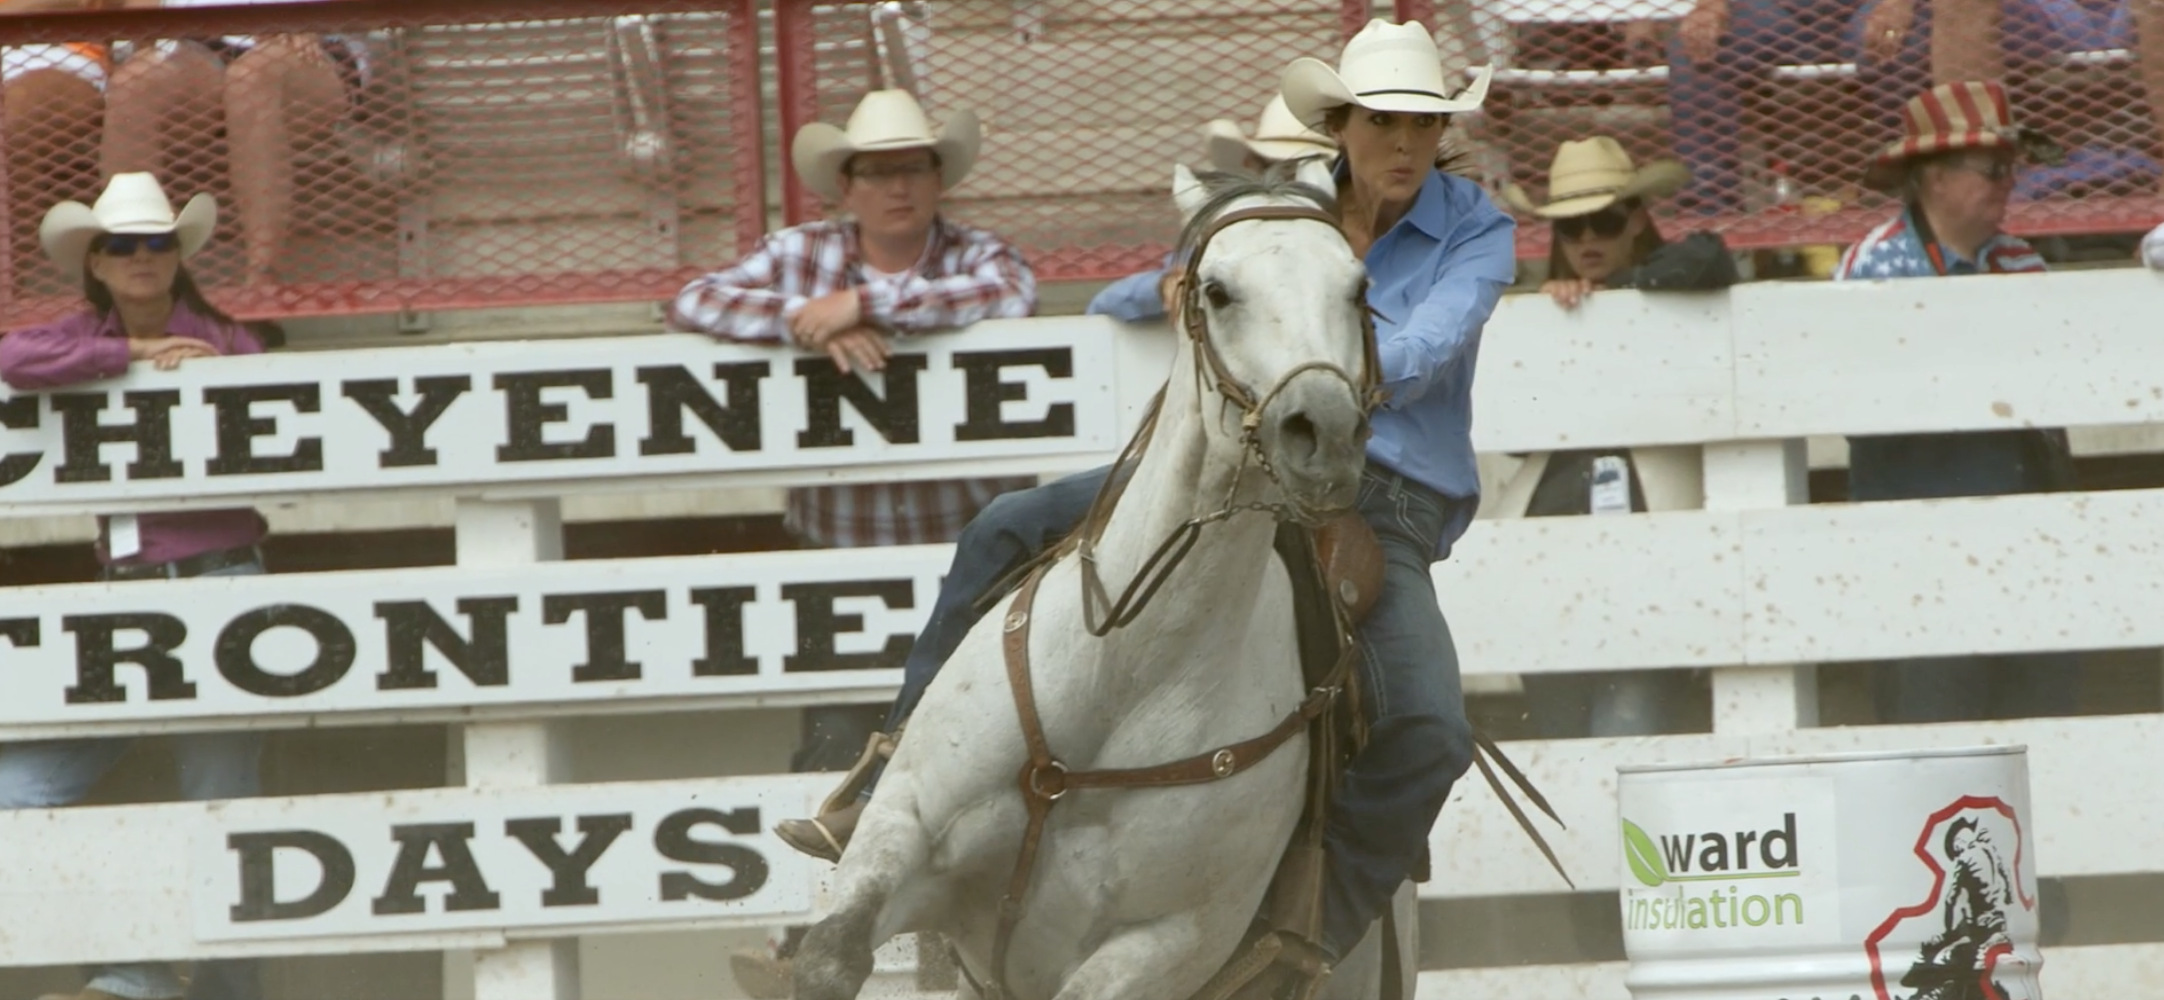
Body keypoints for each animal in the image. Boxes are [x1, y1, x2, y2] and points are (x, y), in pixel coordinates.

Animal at [792, 162, 1402, 1000]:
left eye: (1357, 284)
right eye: (1217, 290)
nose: (1327, 434)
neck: (1123, 676)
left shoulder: (1165, 942)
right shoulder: (907, 830)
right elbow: (830, 955)